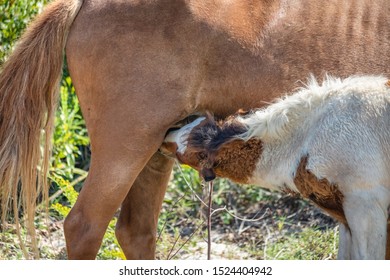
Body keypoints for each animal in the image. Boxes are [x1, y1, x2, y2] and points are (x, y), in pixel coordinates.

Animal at [162, 75, 390, 260]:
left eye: (195, 154)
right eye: (195, 120)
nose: (167, 136)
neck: (311, 135)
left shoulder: (366, 208)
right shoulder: (346, 216)